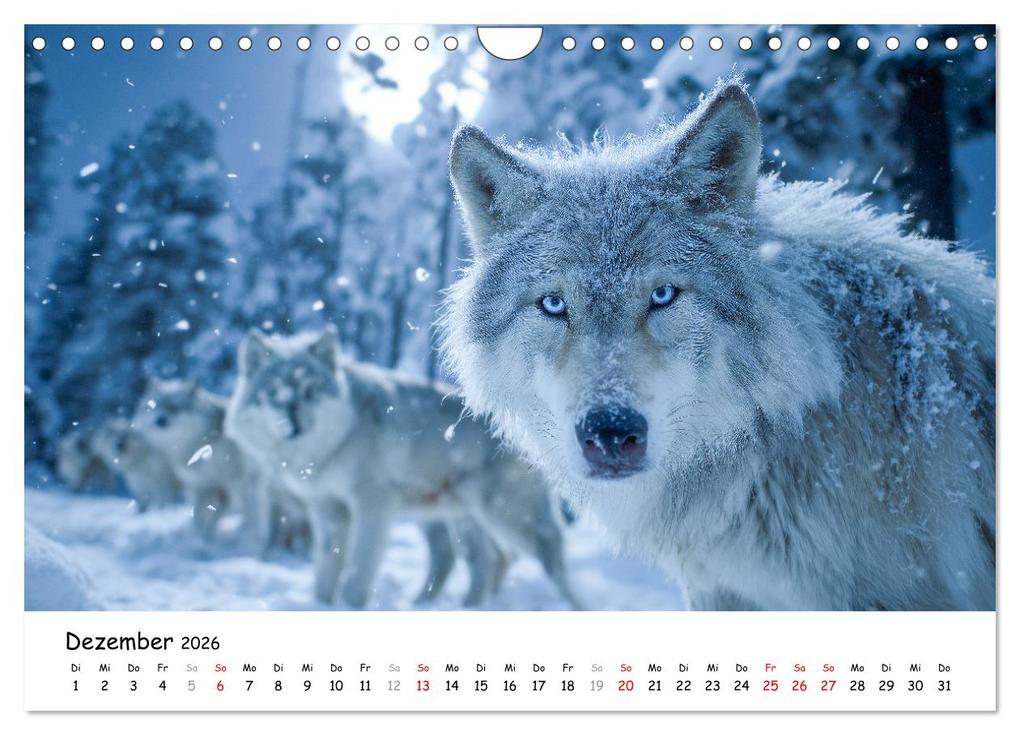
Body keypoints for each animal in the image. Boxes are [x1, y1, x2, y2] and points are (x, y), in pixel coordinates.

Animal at [224, 327, 579, 609]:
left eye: (311, 391)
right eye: (274, 394)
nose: (293, 426)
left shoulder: (372, 507)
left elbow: (357, 574)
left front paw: (349, 607)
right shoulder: (325, 509)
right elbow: (325, 570)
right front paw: (319, 606)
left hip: (503, 514)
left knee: (550, 554)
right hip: (457, 517)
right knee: (482, 560)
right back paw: (450, 606)